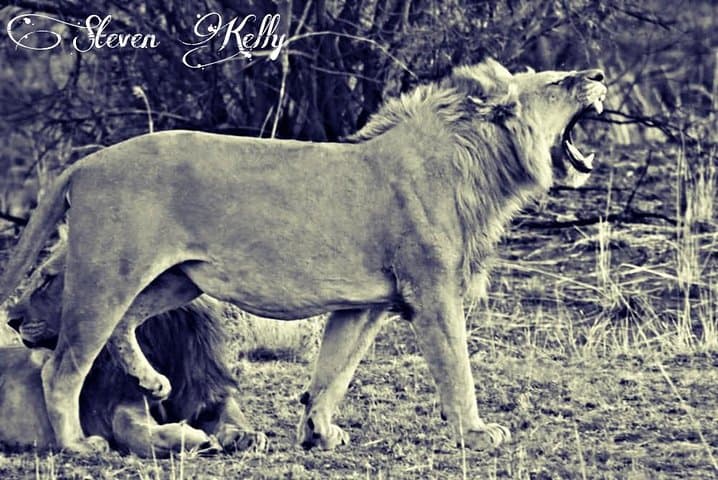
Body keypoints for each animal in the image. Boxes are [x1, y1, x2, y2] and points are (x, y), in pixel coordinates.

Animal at [1, 235, 267, 457]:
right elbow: (139, 432)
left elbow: (229, 411)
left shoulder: (205, 390)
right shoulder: (121, 407)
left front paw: (245, 435)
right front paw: (197, 440)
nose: (11, 320)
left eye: (47, 280)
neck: (156, 337)